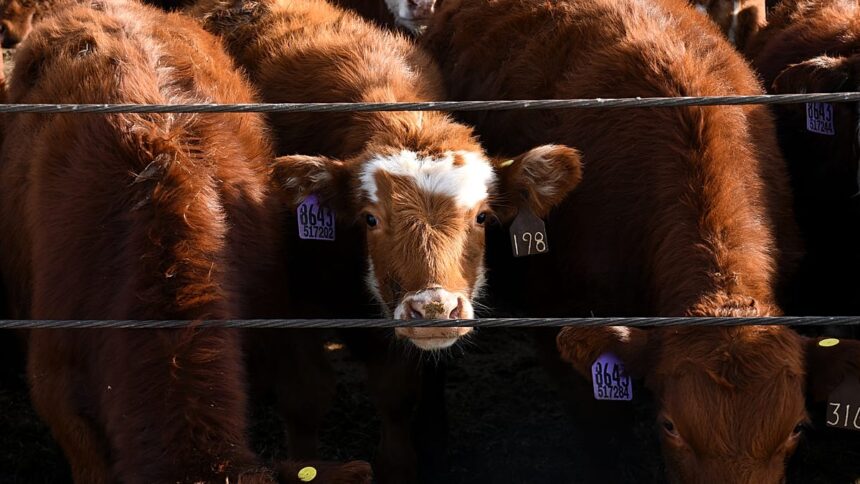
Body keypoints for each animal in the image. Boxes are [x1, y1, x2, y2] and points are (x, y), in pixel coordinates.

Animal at [188, 0, 583, 481]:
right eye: (371, 218)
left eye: (482, 216)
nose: (435, 310)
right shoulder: (289, 303)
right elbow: (304, 398)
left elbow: (395, 394)